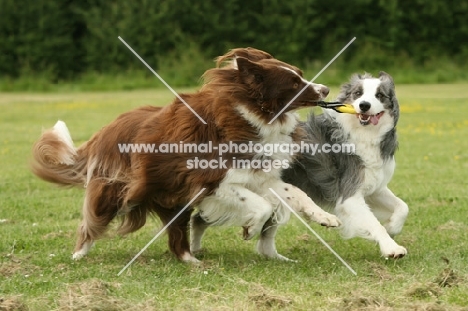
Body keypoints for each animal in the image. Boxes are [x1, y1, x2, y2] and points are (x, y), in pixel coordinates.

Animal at [32, 47, 340, 262]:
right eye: (293, 83)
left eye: (300, 74)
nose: (326, 89)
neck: (251, 116)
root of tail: (105, 130)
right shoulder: (208, 181)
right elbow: (261, 205)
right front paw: (251, 228)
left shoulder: (258, 176)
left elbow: (294, 192)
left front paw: (325, 217)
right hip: (118, 188)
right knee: (93, 220)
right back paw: (78, 254)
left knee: (179, 231)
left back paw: (191, 258)